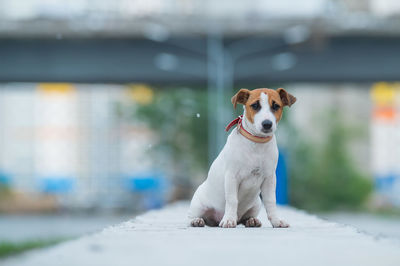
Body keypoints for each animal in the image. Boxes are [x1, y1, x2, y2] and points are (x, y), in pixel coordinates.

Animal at [189, 88, 296, 229]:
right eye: (255, 105)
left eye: (276, 106)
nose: (267, 124)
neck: (257, 143)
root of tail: (215, 220)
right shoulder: (231, 176)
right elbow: (232, 200)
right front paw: (229, 219)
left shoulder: (270, 178)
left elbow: (270, 201)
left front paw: (276, 221)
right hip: (198, 205)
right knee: (194, 216)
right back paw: (197, 220)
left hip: (256, 204)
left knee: (245, 218)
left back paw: (251, 220)